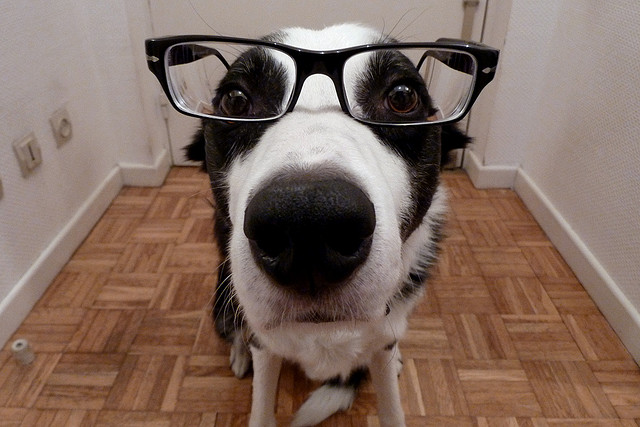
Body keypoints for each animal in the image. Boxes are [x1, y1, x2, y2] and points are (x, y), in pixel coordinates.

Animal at [155, 24, 496, 427]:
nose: (307, 222)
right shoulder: (264, 342)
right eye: (236, 101)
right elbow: (261, 400)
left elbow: (391, 400)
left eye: (402, 96)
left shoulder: (382, 337)